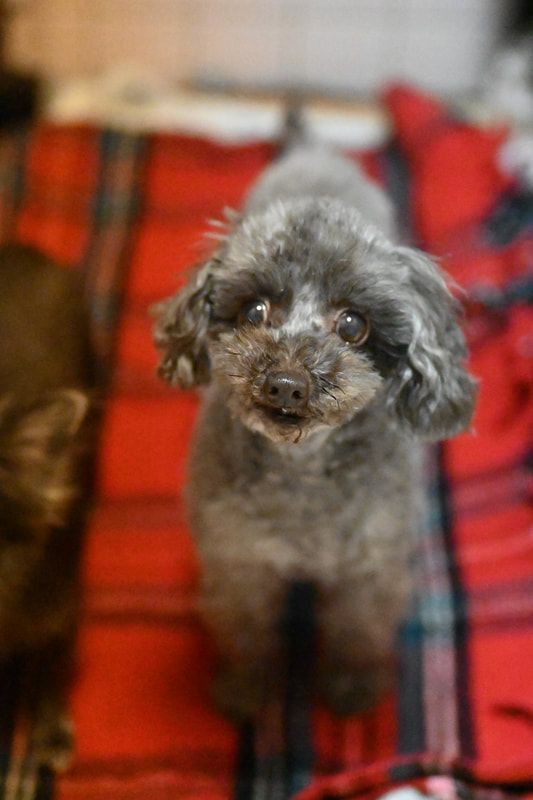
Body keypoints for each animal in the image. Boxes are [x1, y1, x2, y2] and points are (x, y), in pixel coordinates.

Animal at [152, 120, 476, 720]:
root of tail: (316, 151)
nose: (285, 383)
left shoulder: (368, 570)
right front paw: (245, 691)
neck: (300, 469)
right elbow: (246, 632)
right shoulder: (239, 563)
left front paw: (352, 689)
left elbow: (357, 633)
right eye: (255, 311)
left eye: (352, 324)